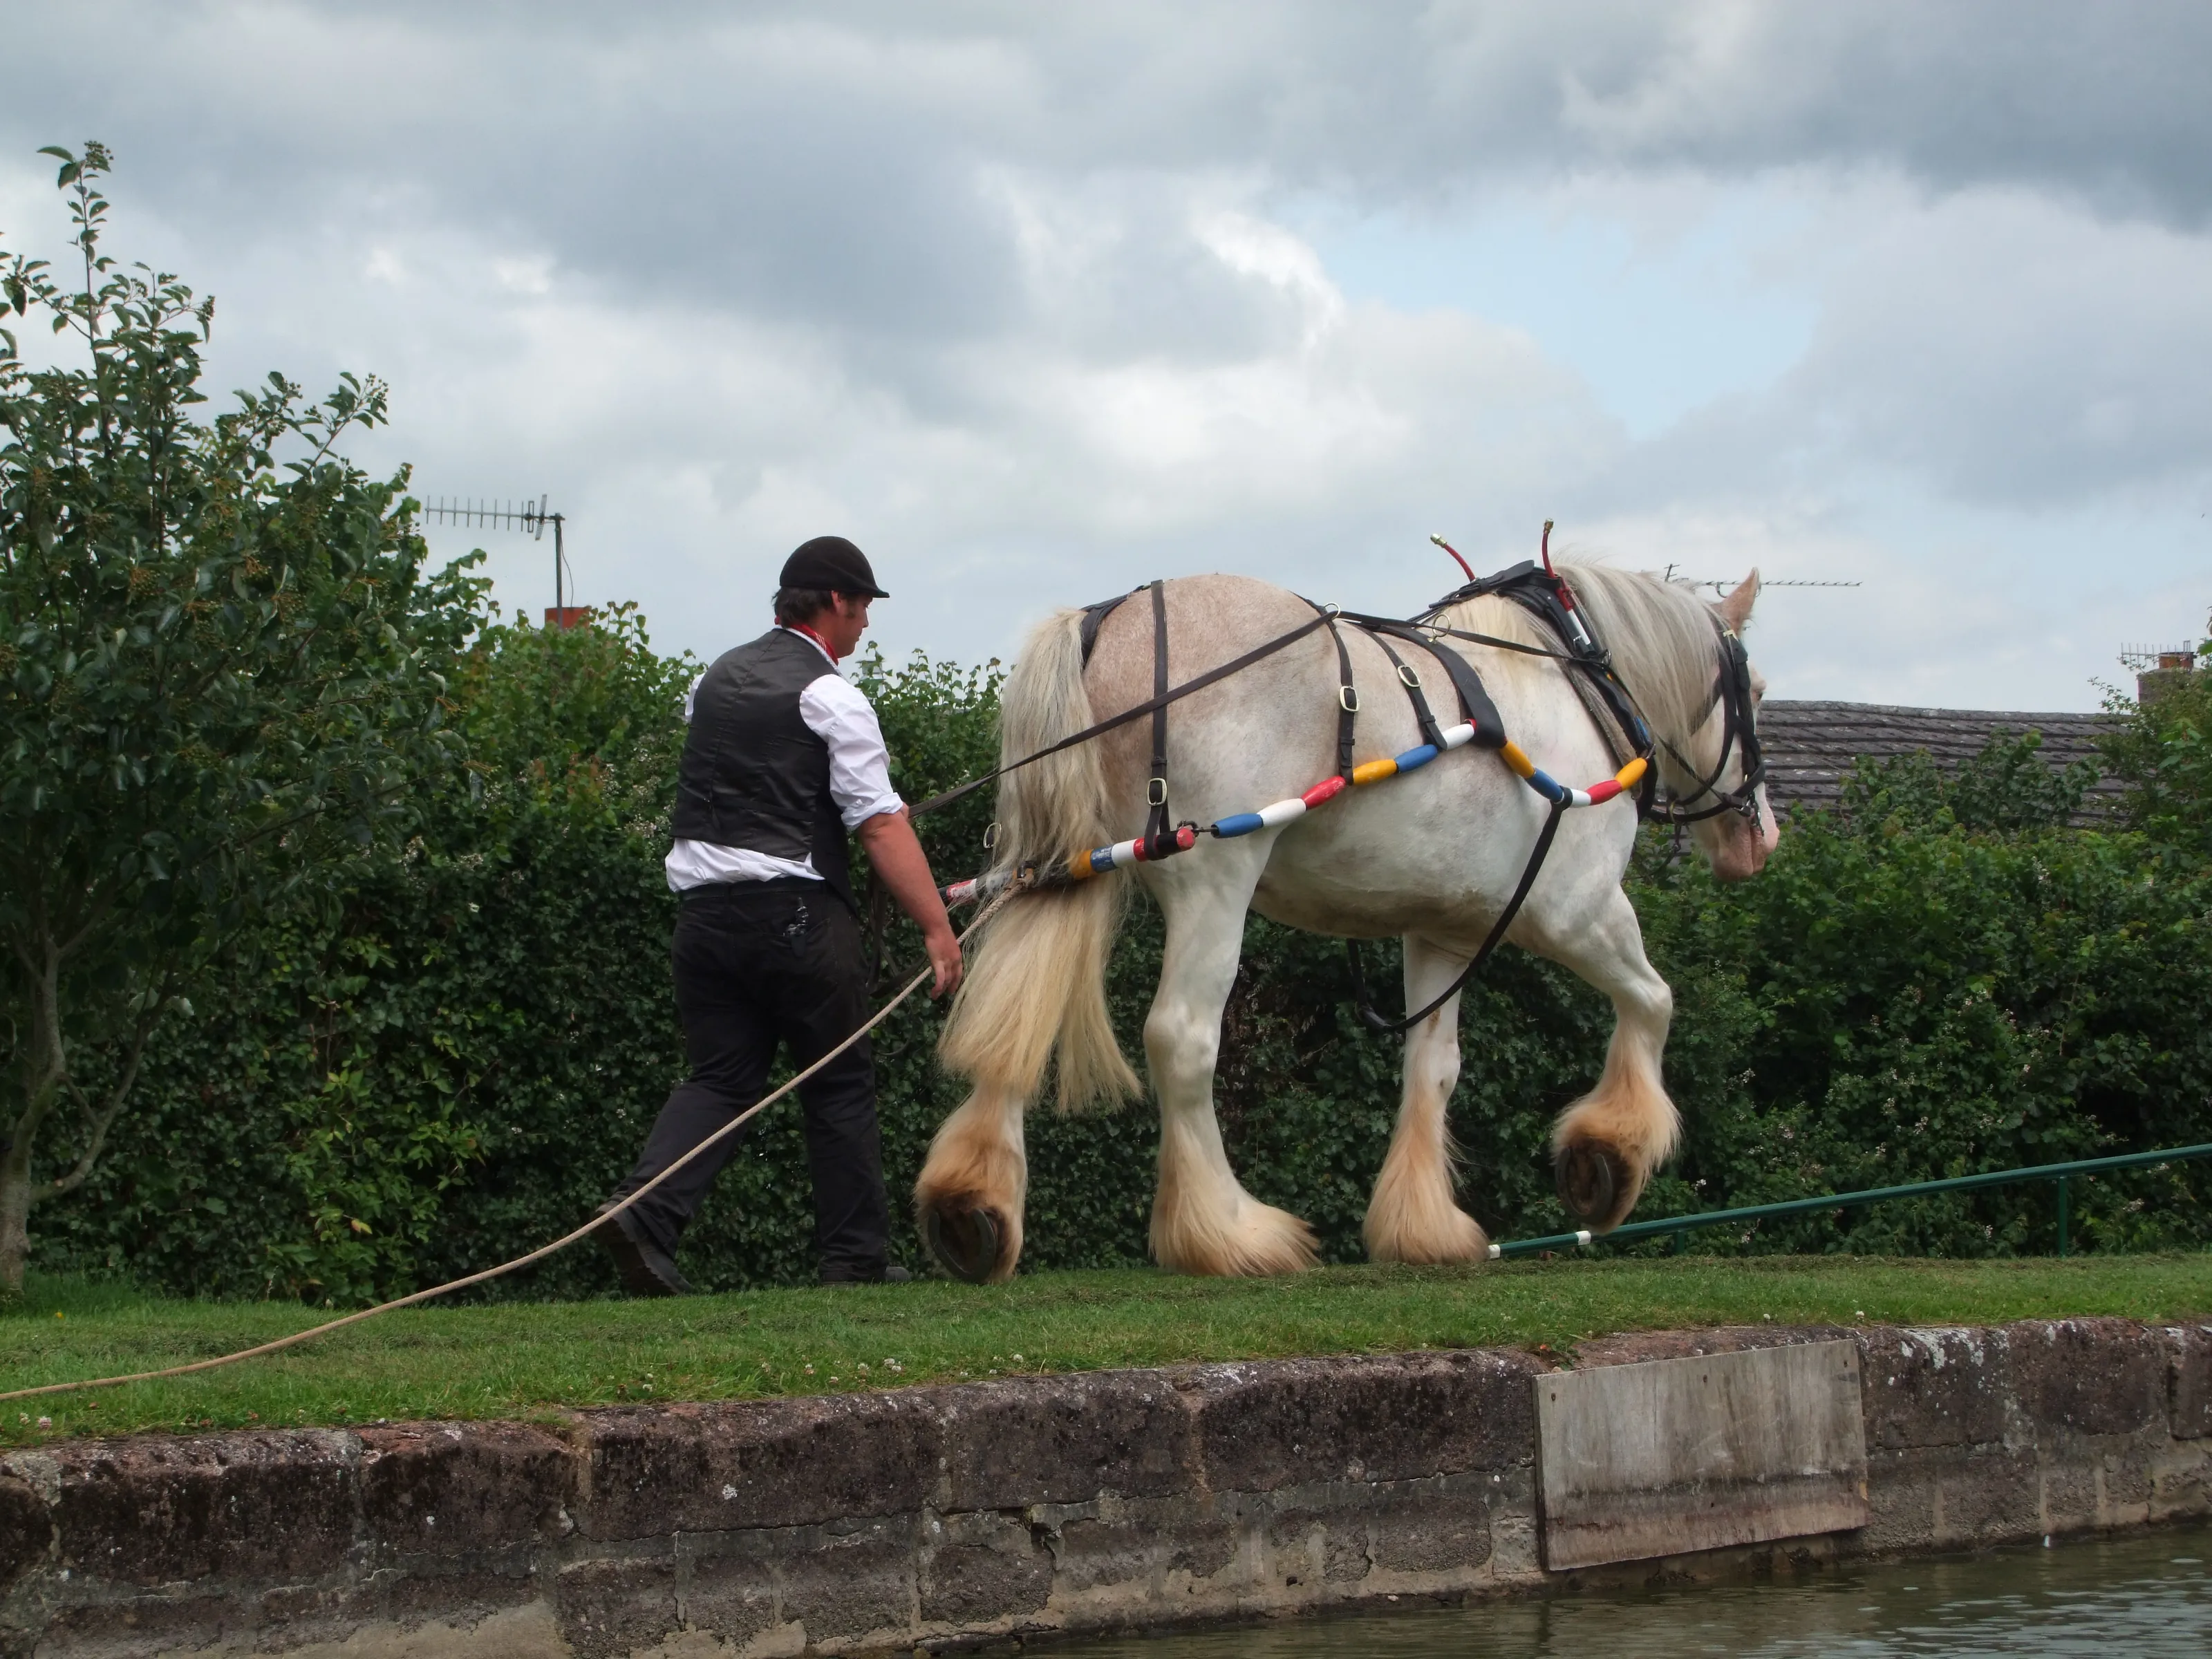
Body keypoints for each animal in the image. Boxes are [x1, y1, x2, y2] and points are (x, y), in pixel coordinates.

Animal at [916, 562, 1777, 1281]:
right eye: (1759, 691)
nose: (1759, 837)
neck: (1570, 682)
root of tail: (1109, 617)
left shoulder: (1444, 932)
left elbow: (1432, 1068)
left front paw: (1421, 1227)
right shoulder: (1579, 908)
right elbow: (1652, 1001)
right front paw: (1608, 1156)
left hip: (1064, 873)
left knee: (1013, 1023)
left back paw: (973, 1205)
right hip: (1213, 879)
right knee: (1179, 1038)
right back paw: (1227, 1233)